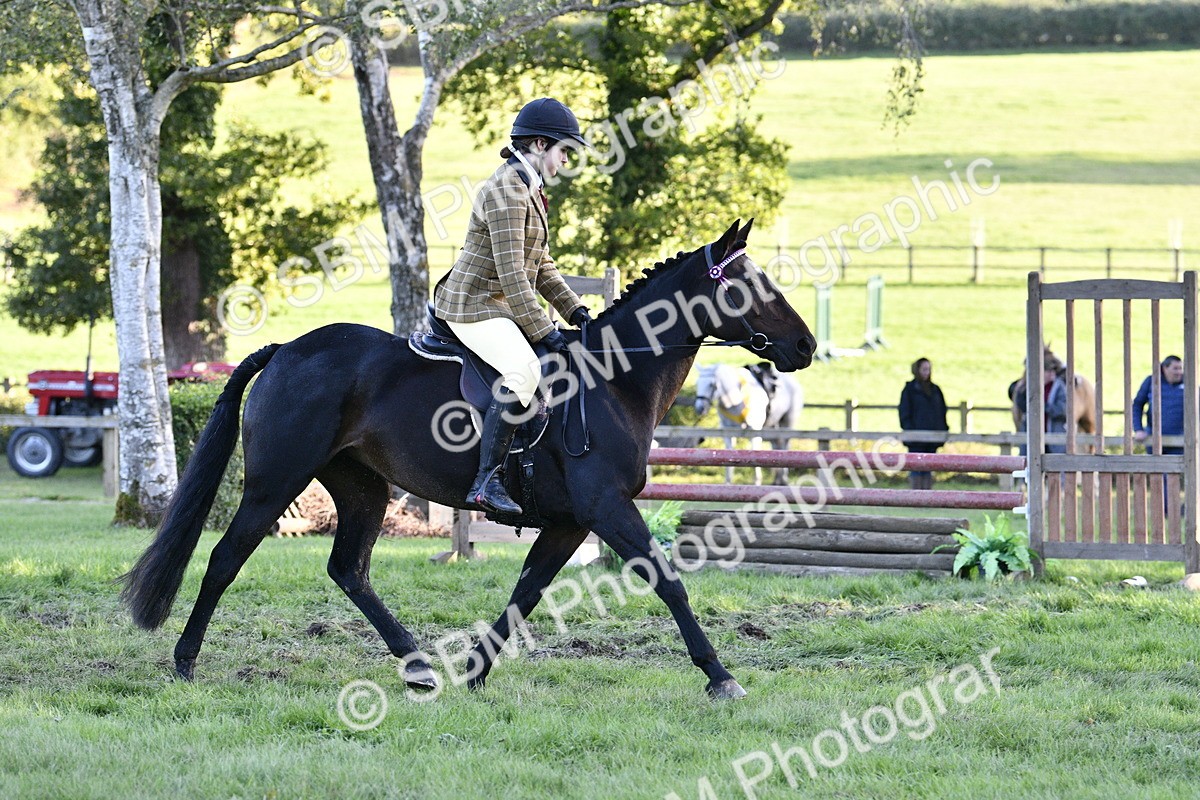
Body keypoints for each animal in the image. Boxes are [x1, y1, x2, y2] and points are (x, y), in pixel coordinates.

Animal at [119, 219, 817, 701]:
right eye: (753, 287)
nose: (806, 346)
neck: (613, 381)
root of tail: (288, 348)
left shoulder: (570, 522)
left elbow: (525, 592)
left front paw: (477, 672)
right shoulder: (606, 508)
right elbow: (666, 579)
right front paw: (720, 676)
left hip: (362, 487)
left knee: (349, 570)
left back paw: (419, 667)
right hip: (275, 482)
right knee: (224, 559)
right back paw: (184, 661)